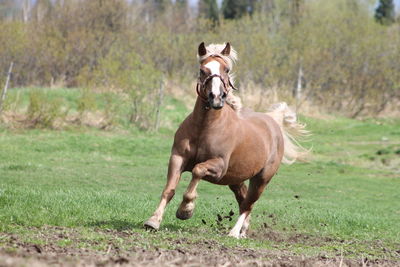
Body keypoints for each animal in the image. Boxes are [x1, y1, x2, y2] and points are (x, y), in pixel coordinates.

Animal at [145, 43, 308, 240]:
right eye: (202, 70)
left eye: (226, 69)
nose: (216, 97)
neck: (205, 127)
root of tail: (273, 122)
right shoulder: (177, 158)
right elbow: (169, 189)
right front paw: (153, 221)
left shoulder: (219, 167)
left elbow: (197, 170)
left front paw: (186, 210)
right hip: (236, 179)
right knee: (243, 199)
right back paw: (243, 230)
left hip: (261, 179)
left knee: (248, 204)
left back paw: (234, 232)